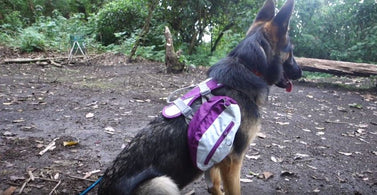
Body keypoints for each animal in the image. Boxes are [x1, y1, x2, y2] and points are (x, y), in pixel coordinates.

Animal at [97, 0, 300, 194]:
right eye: (291, 51)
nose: (300, 71)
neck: (247, 67)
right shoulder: (232, 162)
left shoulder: (213, 160)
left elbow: (215, 186)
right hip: (163, 182)